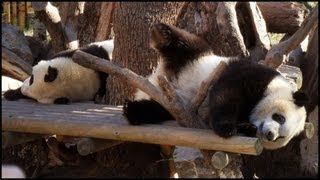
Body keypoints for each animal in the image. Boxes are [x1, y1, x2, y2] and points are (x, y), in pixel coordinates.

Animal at [122, 22, 308, 149]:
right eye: (280, 118)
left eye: (280, 138)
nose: (270, 135)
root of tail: (160, 77)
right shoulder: (253, 75)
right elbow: (228, 92)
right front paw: (226, 128)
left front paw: (246, 128)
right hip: (196, 58)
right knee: (185, 43)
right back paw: (161, 31)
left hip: (174, 103)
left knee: (157, 109)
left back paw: (132, 110)